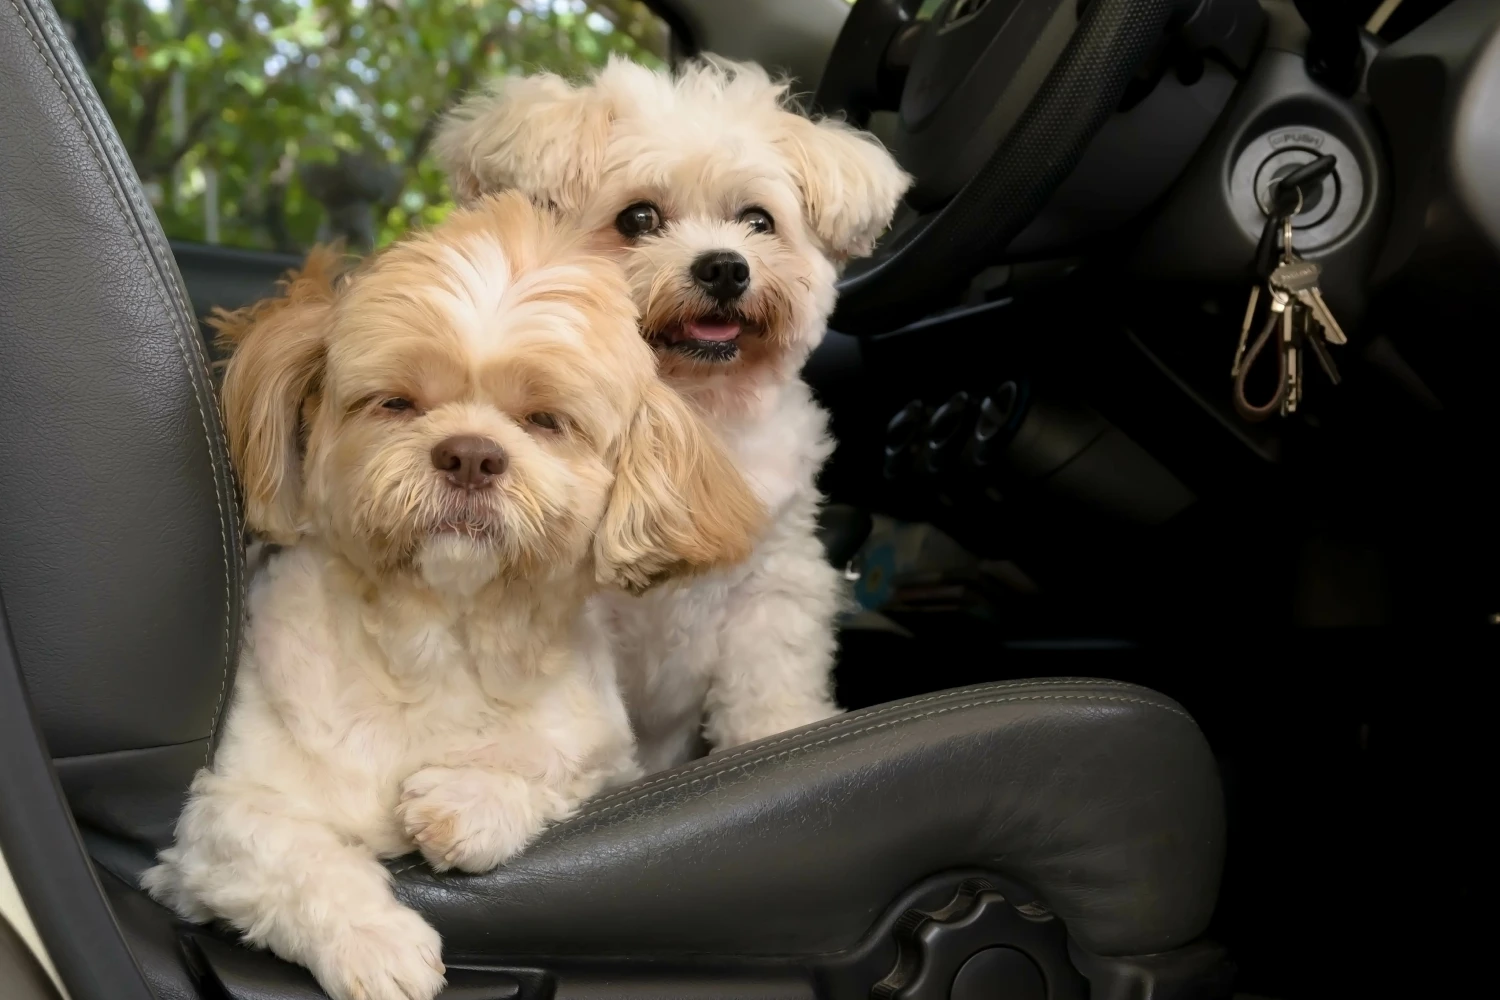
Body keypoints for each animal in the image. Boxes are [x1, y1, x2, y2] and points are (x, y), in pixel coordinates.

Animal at [435, 54, 912, 773]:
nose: (725, 267)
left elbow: (772, 689)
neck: (694, 413)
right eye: (638, 218)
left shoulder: (772, 586)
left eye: (758, 221)